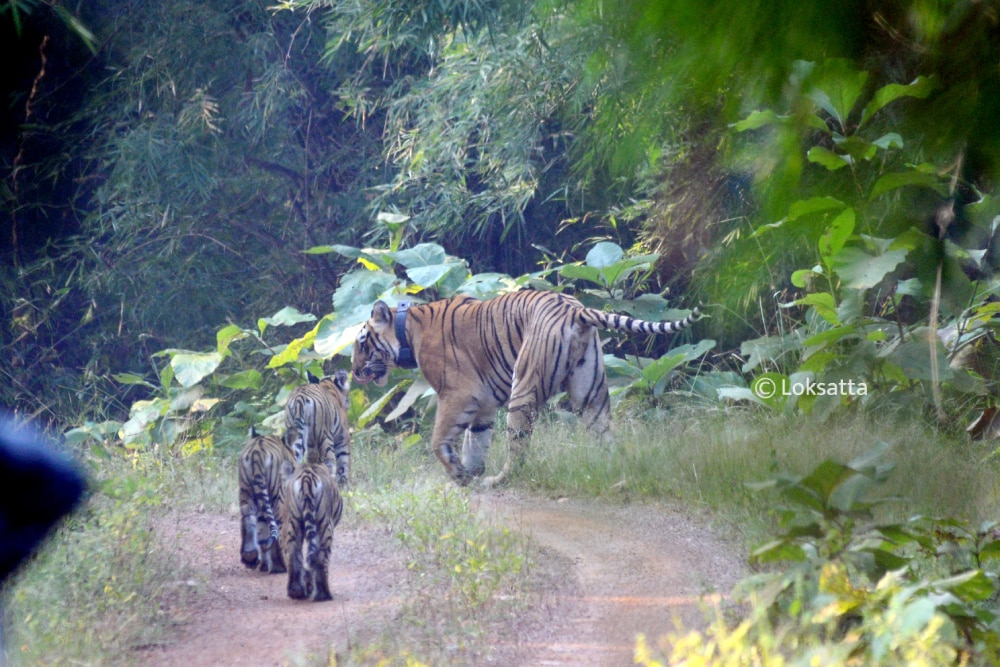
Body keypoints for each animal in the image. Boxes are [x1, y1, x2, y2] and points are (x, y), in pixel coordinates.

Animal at [239, 428, 296, 576]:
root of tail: (256, 451)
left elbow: (262, 531)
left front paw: (264, 564)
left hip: (246, 491)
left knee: (249, 520)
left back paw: (250, 557)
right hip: (277, 497)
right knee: (278, 525)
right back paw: (282, 565)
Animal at [282, 462, 344, 604]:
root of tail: (306, 476)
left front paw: (308, 586)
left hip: (294, 523)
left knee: (294, 553)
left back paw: (296, 591)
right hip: (325, 525)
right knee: (321, 557)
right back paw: (323, 595)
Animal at [356, 290, 700, 488]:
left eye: (361, 343)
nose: (355, 374)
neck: (407, 328)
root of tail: (576, 309)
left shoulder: (457, 395)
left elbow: (439, 440)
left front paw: (460, 475)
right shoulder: (483, 405)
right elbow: (475, 441)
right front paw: (470, 474)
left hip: (523, 388)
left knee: (518, 448)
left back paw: (499, 480)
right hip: (590, 393)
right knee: (605, 436)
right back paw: (615, 475)